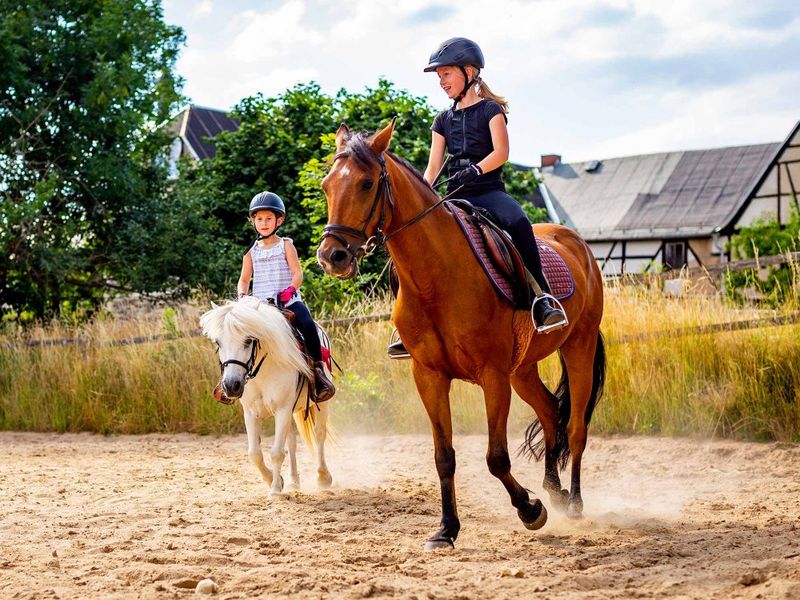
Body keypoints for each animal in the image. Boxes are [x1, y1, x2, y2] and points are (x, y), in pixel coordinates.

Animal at [203, 296, 334, 496]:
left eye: (249, 340)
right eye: (218, 342)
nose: (231, 386)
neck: (263, 369)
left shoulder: (282, 409)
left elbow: (276, 452)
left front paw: (275, 491)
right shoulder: (251, 413)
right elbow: (255, 453)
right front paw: (274, 480)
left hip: (320, 404)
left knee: (319, 434)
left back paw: (323, 477)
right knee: (292, 441)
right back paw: (293, 481)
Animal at [316, 119, 604, 552]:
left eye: (366, 183)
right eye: (326, 185)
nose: (332, 256)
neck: (436, 277)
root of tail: (578, 244)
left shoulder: (492, 375)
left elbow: (496, 457)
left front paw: (530, 510)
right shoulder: (430, 376)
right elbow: (444, 457)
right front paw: (446, 530)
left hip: (578, 348)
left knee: (574, 428)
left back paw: (572, 503)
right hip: (523, 369)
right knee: (550, 413)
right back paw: (554, 490)